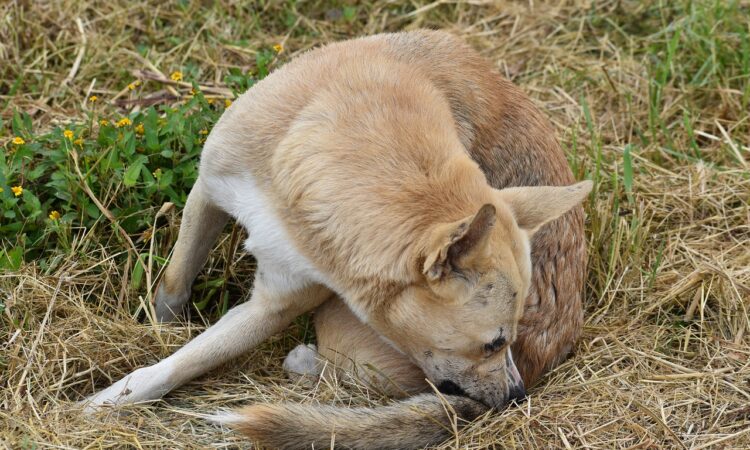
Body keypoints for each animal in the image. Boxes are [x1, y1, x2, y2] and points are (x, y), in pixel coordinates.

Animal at [83, 29, 592, 448]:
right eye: (492, 343)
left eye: (505, 341)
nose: (517, 397)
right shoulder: (208, 191)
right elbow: (174, 285)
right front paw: (155, 330)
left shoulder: (275, 305)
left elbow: (185, 362)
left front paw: (108, 400)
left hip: (338, 328)